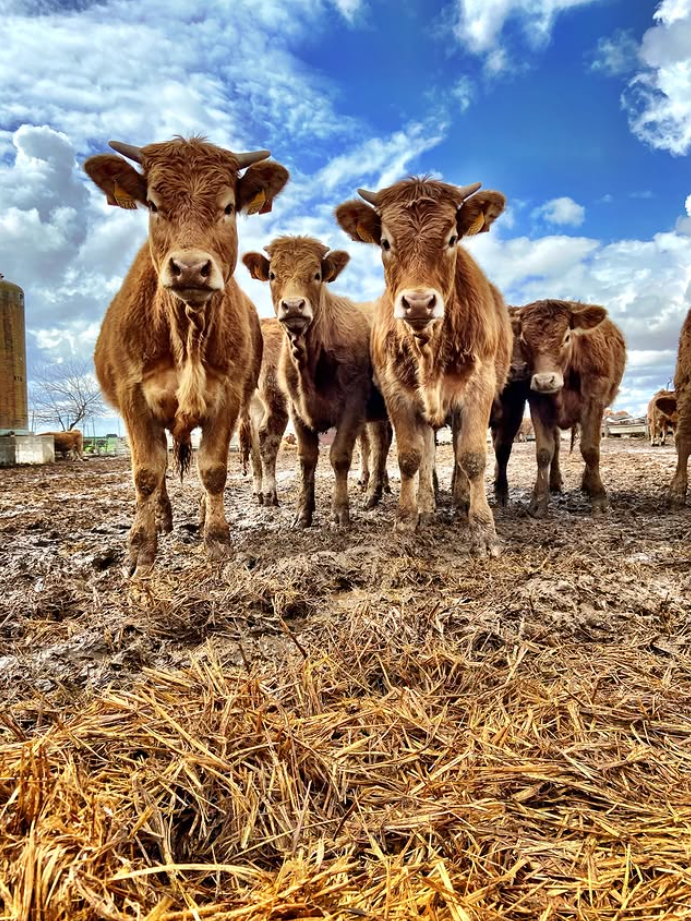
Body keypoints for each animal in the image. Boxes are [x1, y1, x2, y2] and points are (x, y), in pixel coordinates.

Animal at [84, 137, 289, 572]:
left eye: (228, 207)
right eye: (153, 204)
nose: (191, 268)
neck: (187, 332)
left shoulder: (228, 397)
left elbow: (213, 469)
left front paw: (217, 539)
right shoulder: (134, 398)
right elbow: (146, 471)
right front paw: (140, 548)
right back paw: (163, 518)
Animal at [242, 236, 392, 527]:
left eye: (317, 275)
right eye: (272, 275)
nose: (292, 306)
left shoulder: (353, 407)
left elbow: (340, 456)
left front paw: (341, 511)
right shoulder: (296, 408)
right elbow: (307, 459)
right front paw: (303, 513)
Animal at [335, 178, 512, 555]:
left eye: (453, 238)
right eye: (385, 242)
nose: (418, 302)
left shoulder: (479, 388)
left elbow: (472, 456)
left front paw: (483, 528)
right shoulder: (397, 394)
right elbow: (410, 458)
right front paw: (406, 521)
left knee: (459, 451)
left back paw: (460, 501)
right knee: (429, 452)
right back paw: (428, 507)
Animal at [511, 299, 626, 517]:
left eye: (566, 338)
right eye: (524, 340)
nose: (544, 380)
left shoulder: (594, 402)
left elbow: (590, 449)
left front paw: (599, 498)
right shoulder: (537, 403)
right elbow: (544, 452)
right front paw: (539, 501)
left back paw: (587, 484)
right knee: (556, 444)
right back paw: (554, 482)